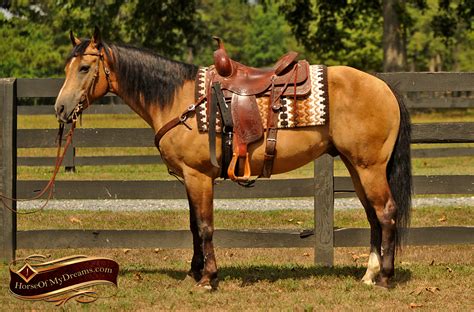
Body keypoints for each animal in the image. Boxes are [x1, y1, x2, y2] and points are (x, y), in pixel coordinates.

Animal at [54, 27, 412, 290]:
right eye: (67, 68)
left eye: (84, 68)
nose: (60, 108)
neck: (180, 100)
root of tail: (384, 87)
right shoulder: (189, 178)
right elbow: (194, 226)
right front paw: (194, 273)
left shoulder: (198, 176)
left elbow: (205, 226)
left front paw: (208, 278)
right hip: (357, 167)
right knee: (373, 216)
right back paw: (369, 275)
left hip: (369, 168)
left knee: (386, 212)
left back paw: (384, 277)